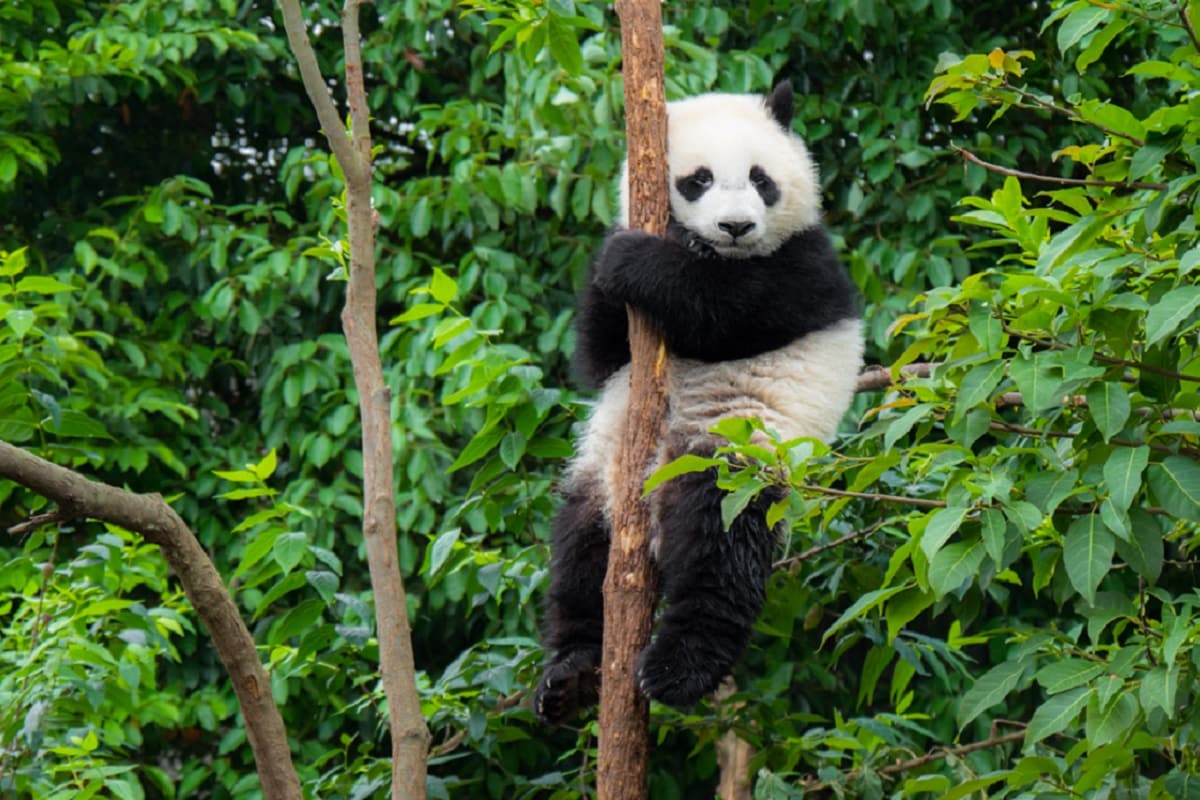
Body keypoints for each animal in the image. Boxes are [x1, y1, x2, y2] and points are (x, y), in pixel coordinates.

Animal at [535, 82, 864, 724]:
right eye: (698, 179)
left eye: (761, 179)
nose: (735, 226)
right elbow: (597, 358)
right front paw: (615, 255)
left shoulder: (807, 267)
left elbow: (727, 311)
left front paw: (633, 261)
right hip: (602, 476)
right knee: (580, 554)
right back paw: (572, 675)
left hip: (735, 454)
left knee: (721, 548)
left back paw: (678, 671)